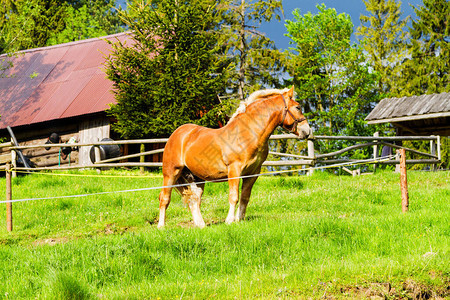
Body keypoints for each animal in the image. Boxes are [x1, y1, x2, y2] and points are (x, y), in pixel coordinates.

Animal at [159, 86, 312, 227]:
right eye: (298, 107)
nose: (307, 131)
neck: (247, 133)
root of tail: (178, 134)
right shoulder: (234, 170)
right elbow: (234, 196)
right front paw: (229, 221)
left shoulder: (252, 173)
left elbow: (245, 197)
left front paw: (239, 219)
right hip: (171, 173)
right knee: (164, 198)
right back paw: (161, 226)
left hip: (196, 178)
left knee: (194, 200)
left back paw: (201, 225)